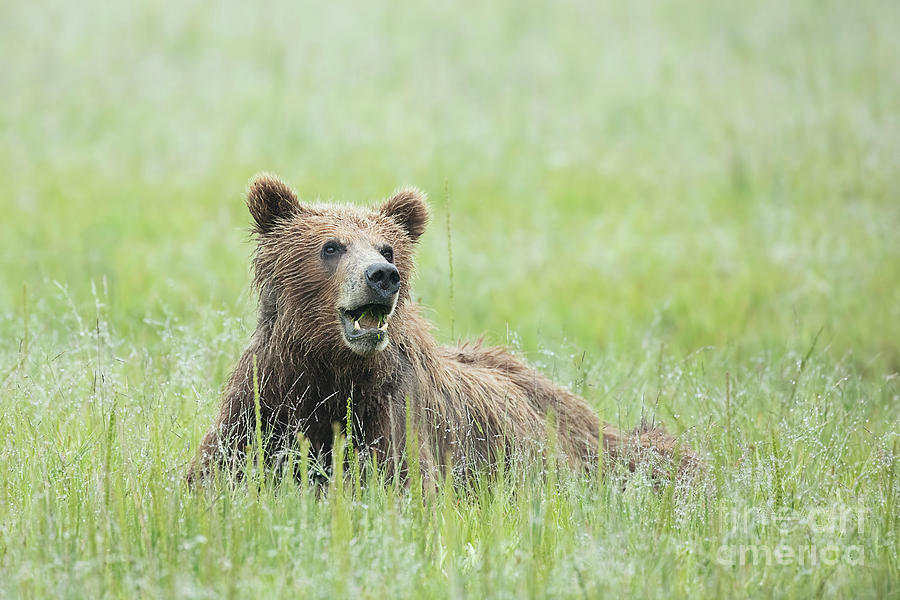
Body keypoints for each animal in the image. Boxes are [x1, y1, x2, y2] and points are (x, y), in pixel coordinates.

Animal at [188, 176, 696, 486]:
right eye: (331, 246)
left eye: (387, 247)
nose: (381, 275)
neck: (330, 370)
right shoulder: (265, 399)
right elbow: (217, 473)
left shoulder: (393, 420)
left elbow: (400, 484)